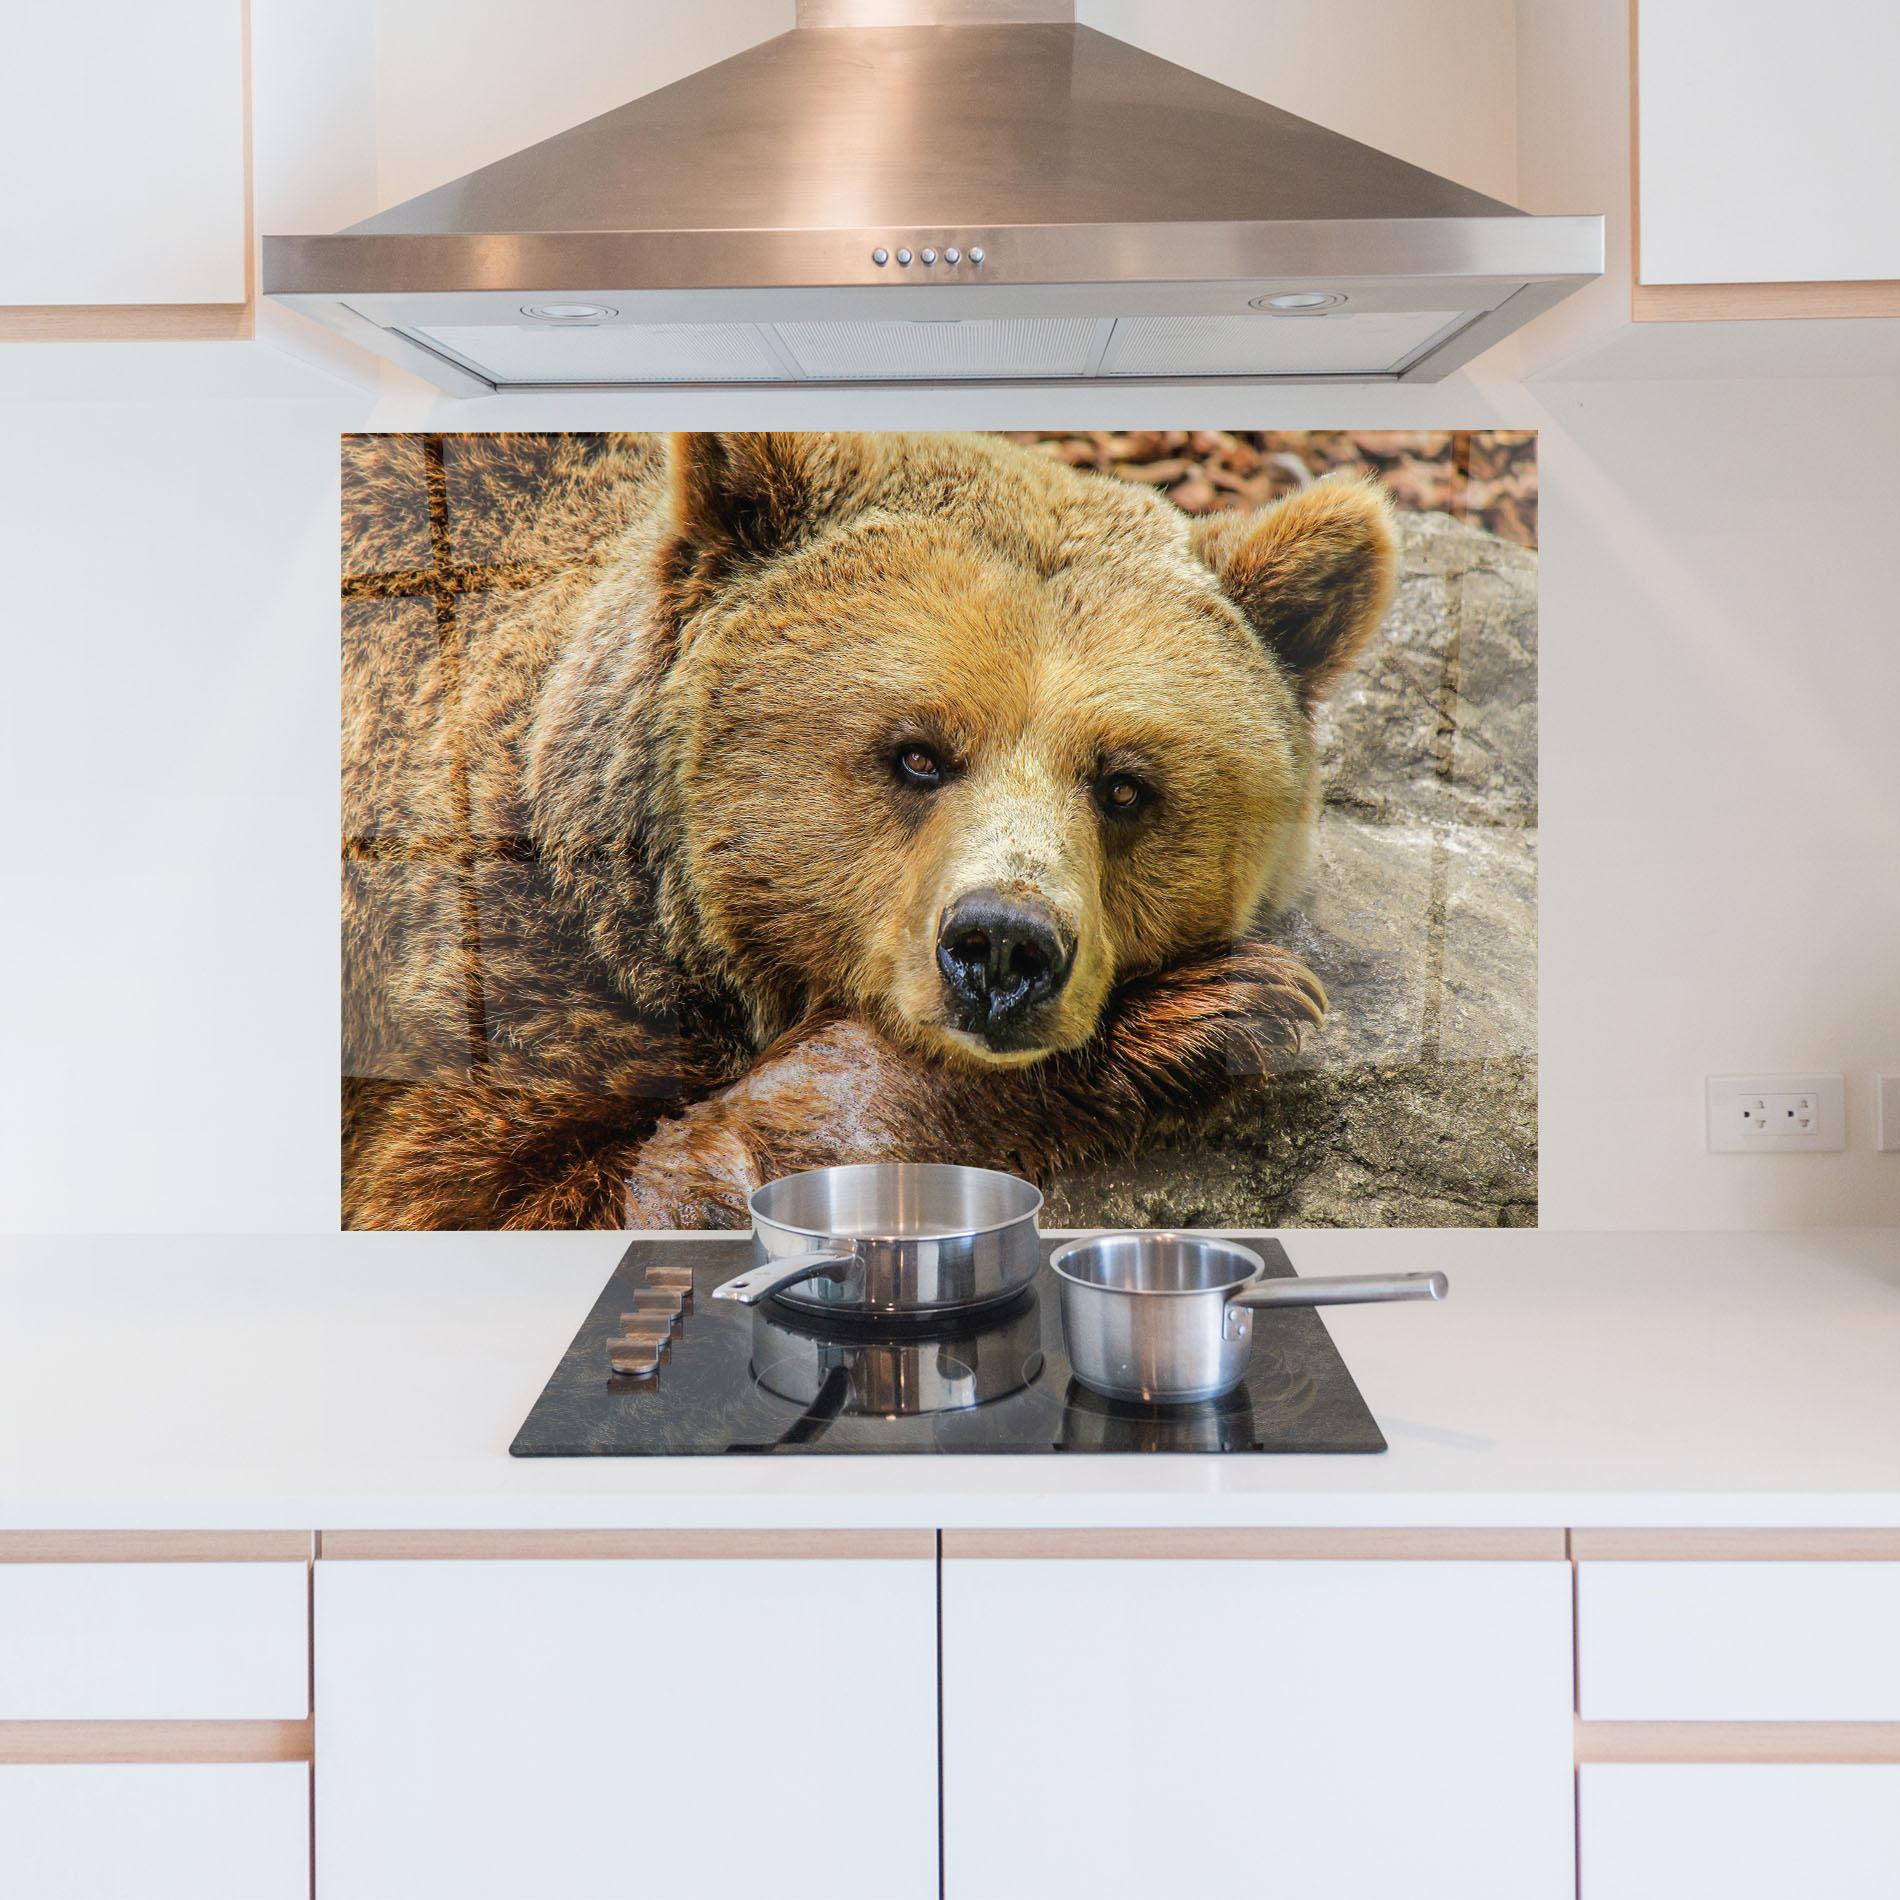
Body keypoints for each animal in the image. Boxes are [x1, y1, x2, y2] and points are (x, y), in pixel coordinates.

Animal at [341, 430, 1396, 1230]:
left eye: (1124, 785)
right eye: (918, 754)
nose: (1003, 947)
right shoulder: (507, 976)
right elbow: (531, 1198)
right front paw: (1207, 1012)